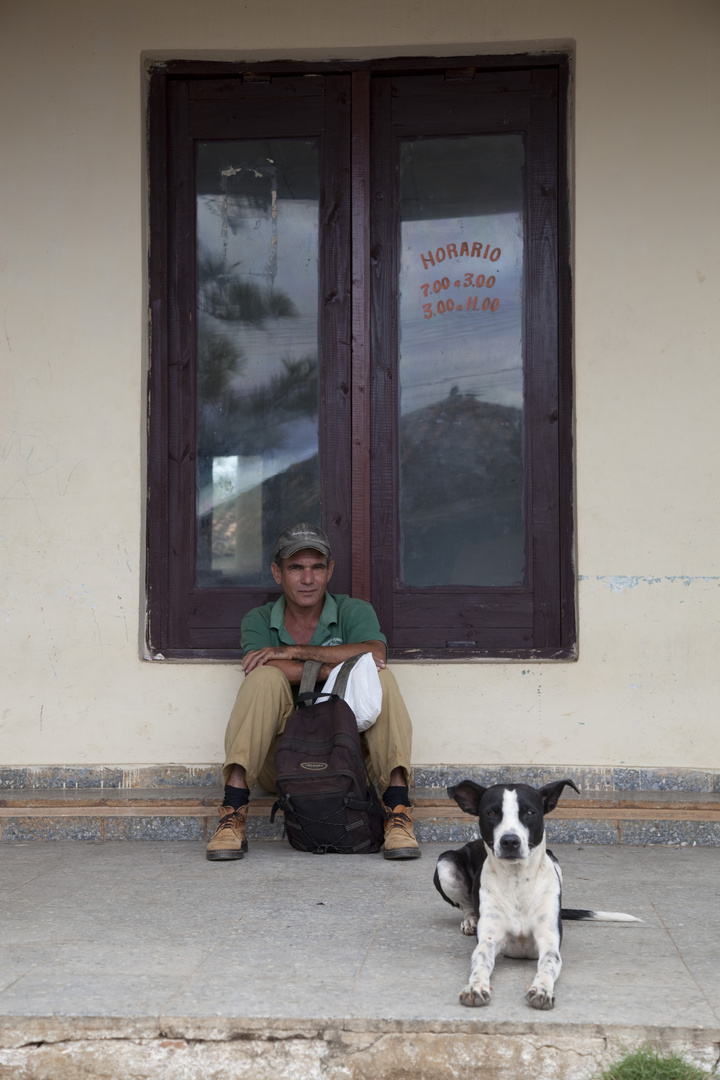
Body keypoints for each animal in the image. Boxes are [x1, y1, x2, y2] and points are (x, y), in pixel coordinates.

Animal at [436, 781, 639, 1006]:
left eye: (529, 812)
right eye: (491, 813)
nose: (510, 841)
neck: (517, 881)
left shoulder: (549, 940)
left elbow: (548, 963)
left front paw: (541, 989)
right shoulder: (488, 940)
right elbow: (480, 961)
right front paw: (476, 987)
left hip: (555, 861)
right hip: (445, 863)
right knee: (466, 905)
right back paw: (470, 920)